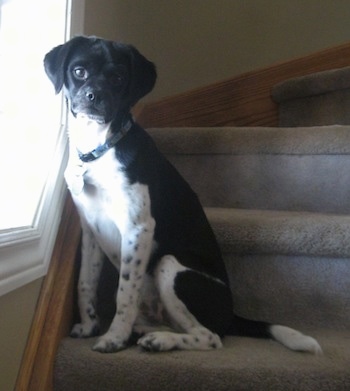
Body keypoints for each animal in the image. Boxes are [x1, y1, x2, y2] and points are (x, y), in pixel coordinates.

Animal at [44, 36, 322, 356]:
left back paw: (158, 341)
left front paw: (114, 338)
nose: (94, 96)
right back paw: (145, 332)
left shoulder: (139, 229)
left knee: (210, 337)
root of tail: (231, 314)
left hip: (170, 264)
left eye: (118, 78)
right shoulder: (90, 230)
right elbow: (84, 283)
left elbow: (124, 294)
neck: (99, 150)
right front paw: (90, 327)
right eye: (79, 71)